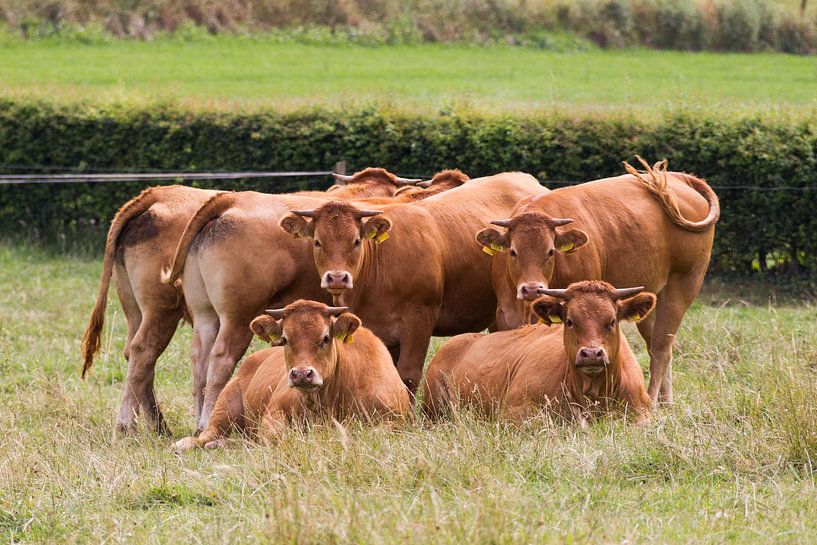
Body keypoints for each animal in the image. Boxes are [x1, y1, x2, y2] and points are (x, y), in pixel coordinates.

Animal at [83, 168, 417, 435]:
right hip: (194, 313)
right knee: (176, 355)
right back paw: (133, 426)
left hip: (162, 312)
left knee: (171, 358)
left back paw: (165, 424)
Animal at [161, 168, 458, 432]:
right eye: (317, 241)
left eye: (356, 241)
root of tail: (233, 199)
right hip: (238, 317)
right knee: (220, 359)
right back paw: (204, 421)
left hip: (205, 315)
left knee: (199, 360)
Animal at [172, 300, 410, 451]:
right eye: (285, 339)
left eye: (325, 338)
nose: (301, 374)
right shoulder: (273, 415)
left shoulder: (393, 420)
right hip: (224, 407)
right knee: (208, 434)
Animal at [475, 158, 719, 405]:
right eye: (513, 251)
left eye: (551, 251)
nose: (532, 289)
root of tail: (679, 178)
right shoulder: (506, 315)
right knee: (658, 345)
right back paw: (666, 402)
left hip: (682, 285)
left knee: (661, 346)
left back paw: (653, 399)